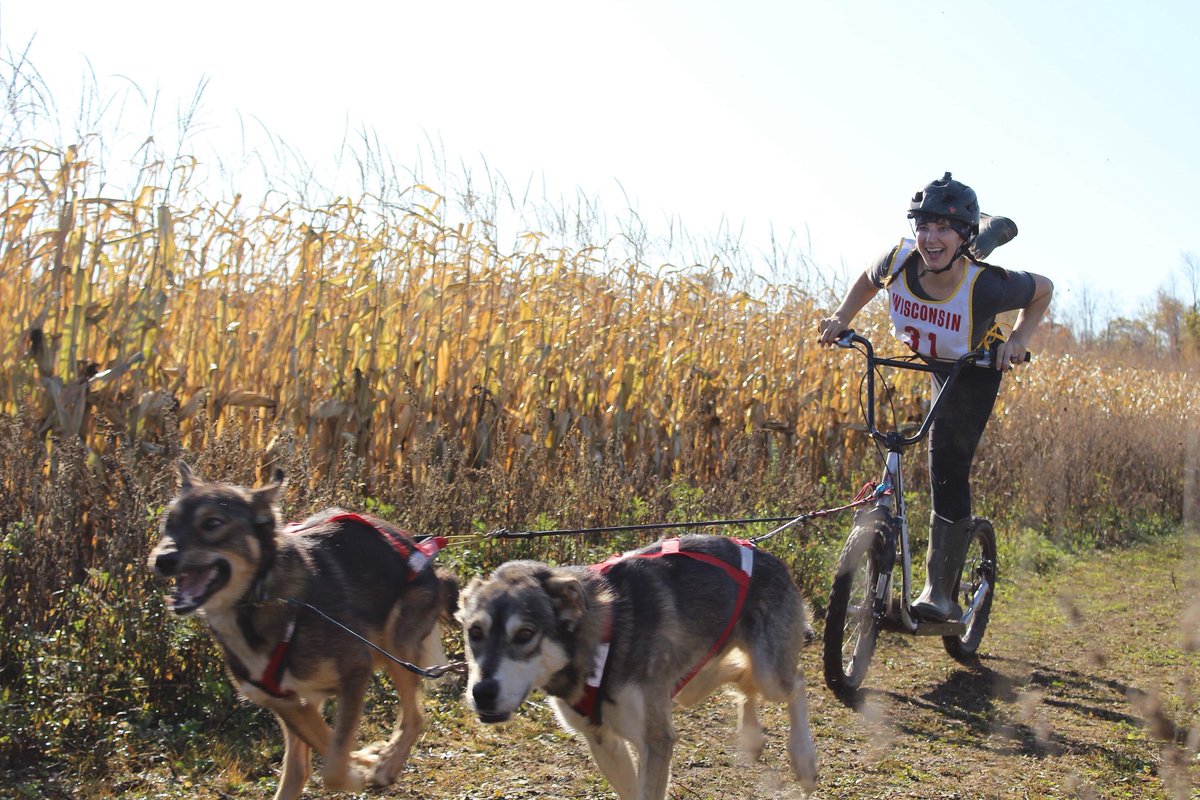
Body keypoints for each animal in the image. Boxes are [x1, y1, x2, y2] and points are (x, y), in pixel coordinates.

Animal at [145, 462, 453, 800]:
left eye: (212, 523)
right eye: (169, 523)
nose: (163, 559)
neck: (260, 599)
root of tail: (415, 546)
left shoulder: (355, 672)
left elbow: (333, 768)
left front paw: (359, 771)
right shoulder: (284, 702)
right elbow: (327, 748)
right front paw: (362, 759)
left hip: (398, 650)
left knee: (414, 717)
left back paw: (386, 766)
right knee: (300, 766)